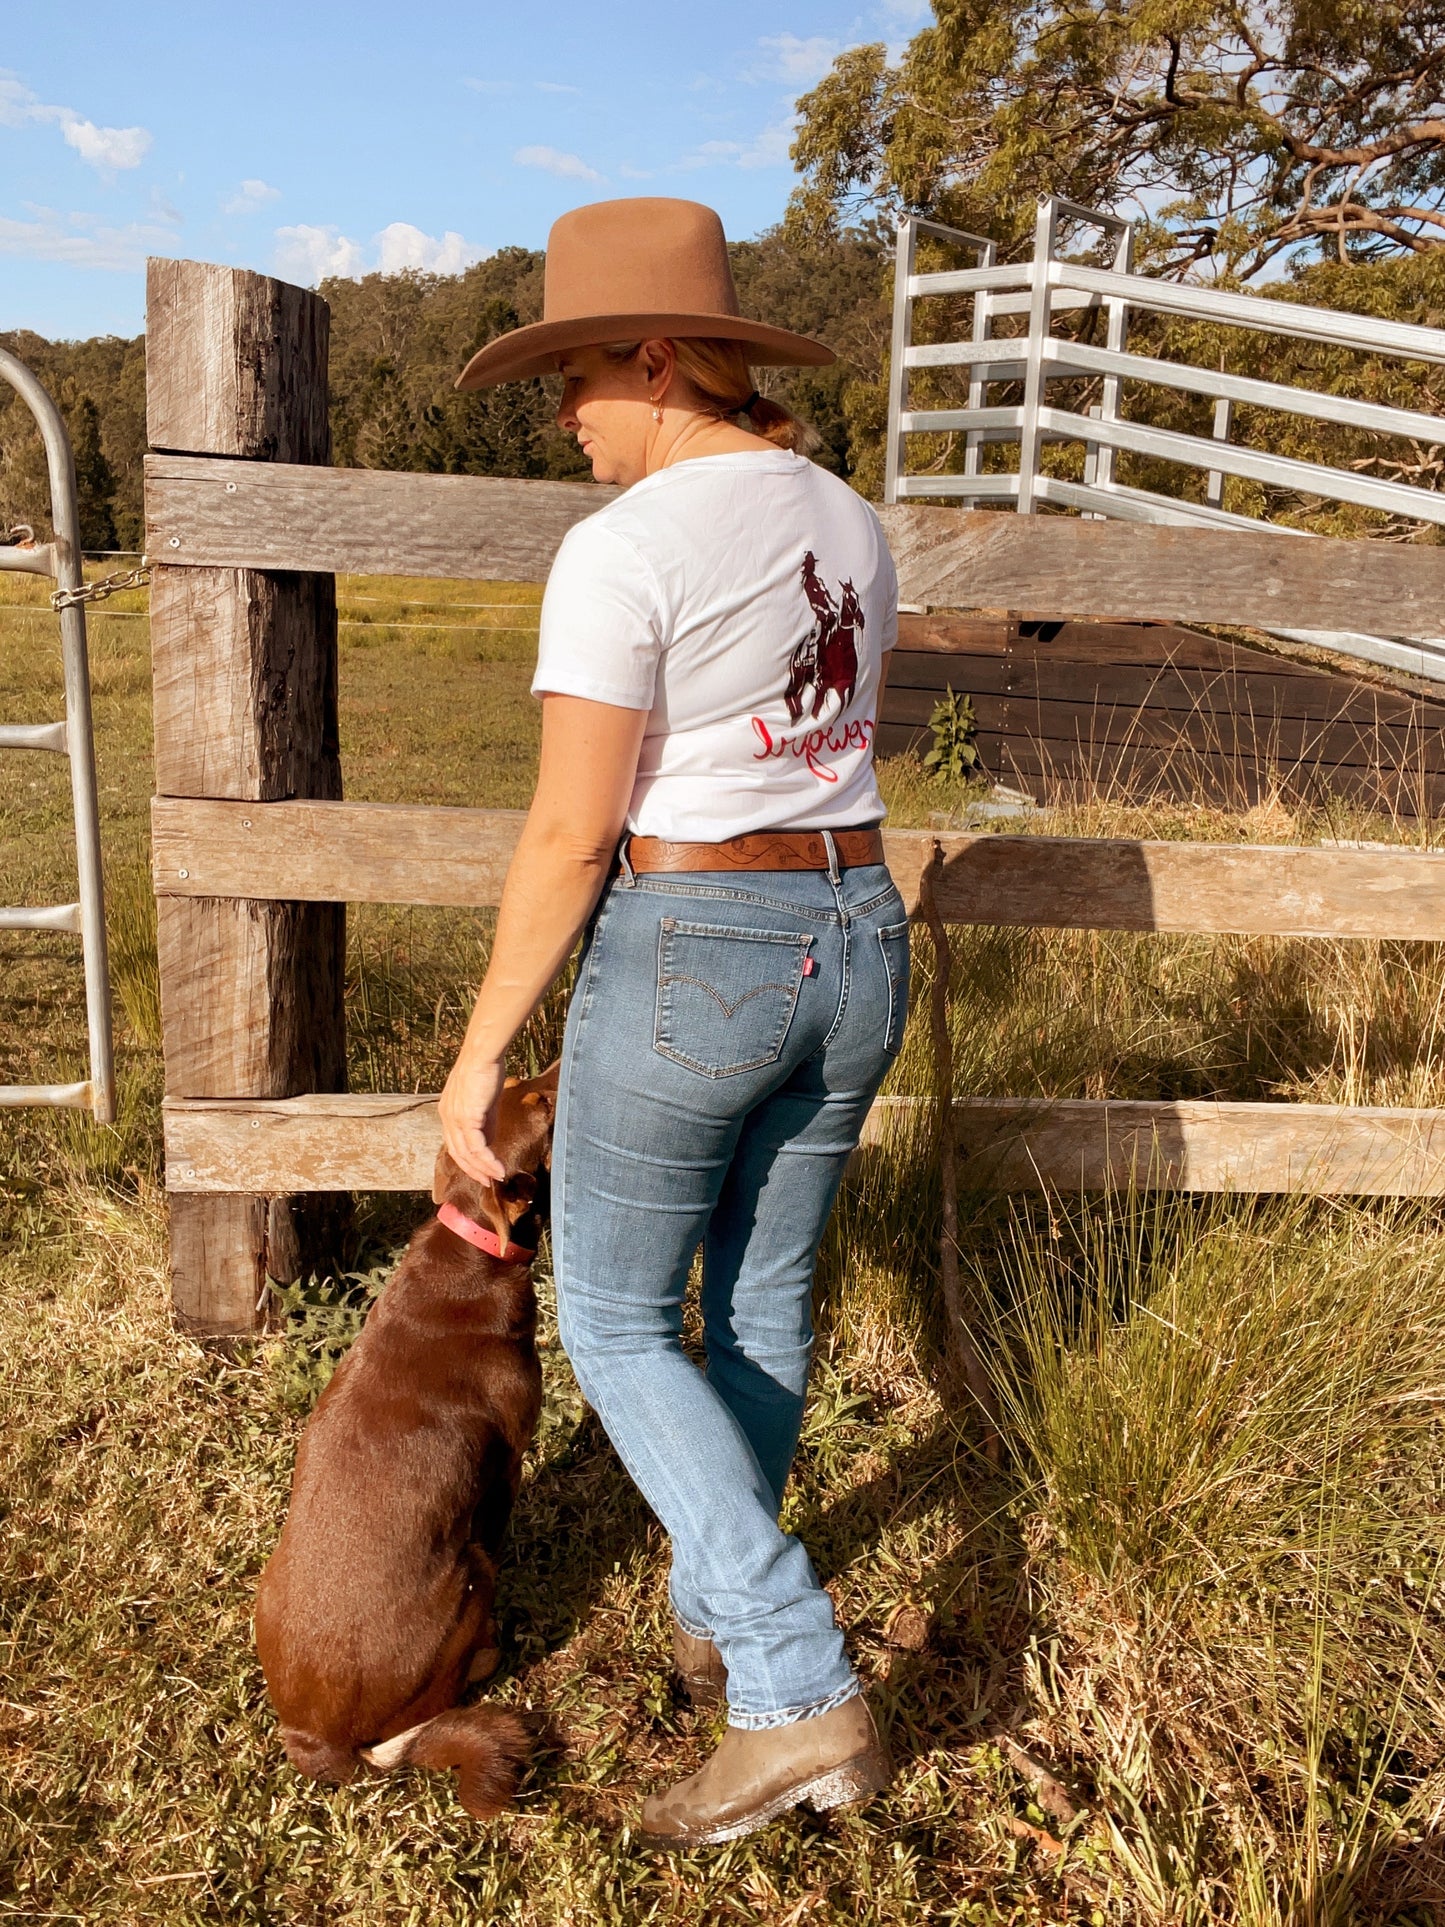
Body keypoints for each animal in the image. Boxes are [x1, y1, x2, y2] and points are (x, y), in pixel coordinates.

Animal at [254, 1071, 558, 1819]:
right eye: (540, 1104)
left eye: (519, 1085)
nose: (561, 1064)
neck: (471, 1245)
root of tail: (316, 1740)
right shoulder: (508, 1462)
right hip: (470, 1568)